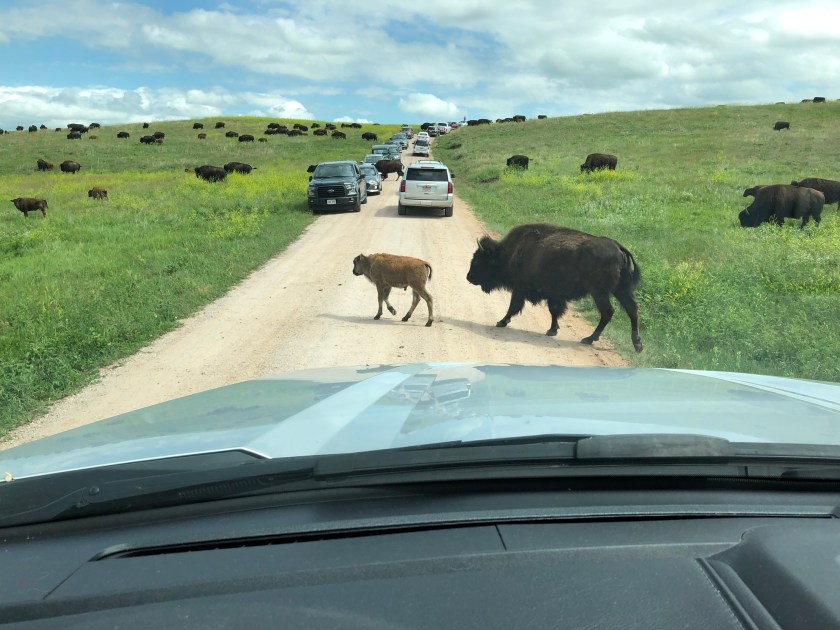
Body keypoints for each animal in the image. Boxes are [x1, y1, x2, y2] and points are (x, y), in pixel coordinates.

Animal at [466, 223, 643, 352]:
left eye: (479, 260)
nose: (469, 277)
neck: (513, 252)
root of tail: (618, 248)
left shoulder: (520, 289)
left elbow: (514, 306)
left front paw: (501, 322)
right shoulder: (553, 295)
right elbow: (554, 311)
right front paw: (552, 330)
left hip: (599, 292)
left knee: (608, 312)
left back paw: (588, 339)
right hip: (621, 290)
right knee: (632, 310)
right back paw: (637, 345)